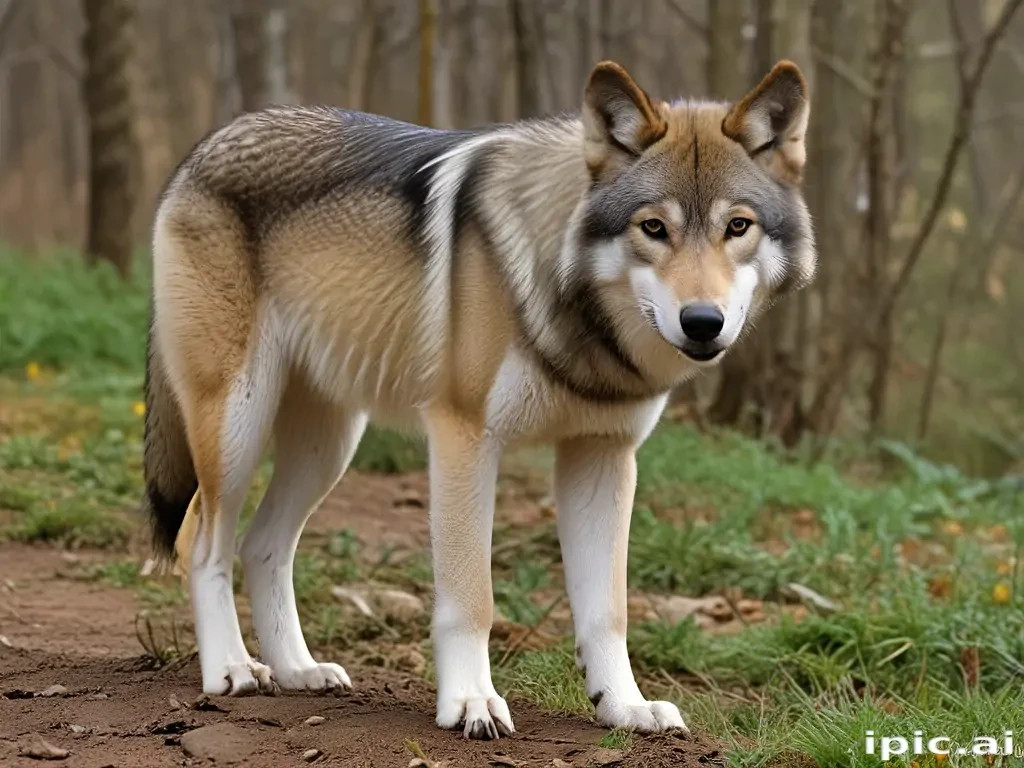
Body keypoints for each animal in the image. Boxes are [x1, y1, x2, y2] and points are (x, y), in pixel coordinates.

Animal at [144, 59, 815, 739]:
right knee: (202, 540)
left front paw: (624, 707)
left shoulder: (602, 456)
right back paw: (231, 669)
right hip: (238, 424)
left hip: (326, 447)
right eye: (653, 228)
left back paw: (299, 670)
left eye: (737, 227)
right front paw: (470, 701)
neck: (570, 309)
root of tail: (208, 144)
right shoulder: (463, 437)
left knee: (262, 546)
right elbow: (472, 599)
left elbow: (609, 611)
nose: (702, 322)